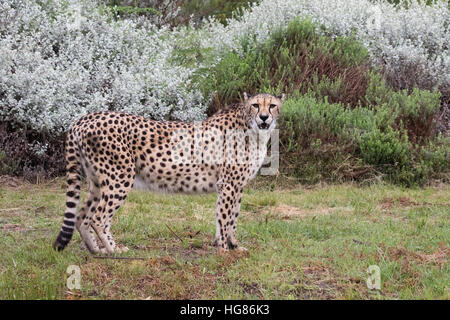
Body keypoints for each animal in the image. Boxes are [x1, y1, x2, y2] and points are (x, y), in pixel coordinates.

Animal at [53, 91, 284, 254]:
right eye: (256, 105)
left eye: (272, 105)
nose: (264, 117)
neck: (251, 126)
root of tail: (84, 118)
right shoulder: (229, 184)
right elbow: (226, 218)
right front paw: (225, 251)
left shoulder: (233, 186)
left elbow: (230, 217)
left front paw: (232, 246)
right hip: (120, 177)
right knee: (98, 218)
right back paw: (113, 250)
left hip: (97, 182)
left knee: (82, 217)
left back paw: (95, 250)